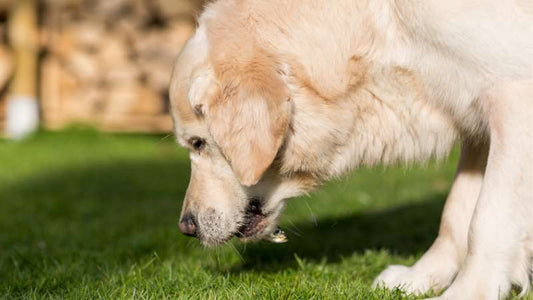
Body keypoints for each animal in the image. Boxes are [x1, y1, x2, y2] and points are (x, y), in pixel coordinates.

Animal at [169, 1, 532, 298]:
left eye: (198, 143)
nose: (187, 228)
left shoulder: (513, 98)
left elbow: (488, 217)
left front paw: (468, 291)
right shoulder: (472, 114)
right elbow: (457, 211)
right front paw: (422, 276)